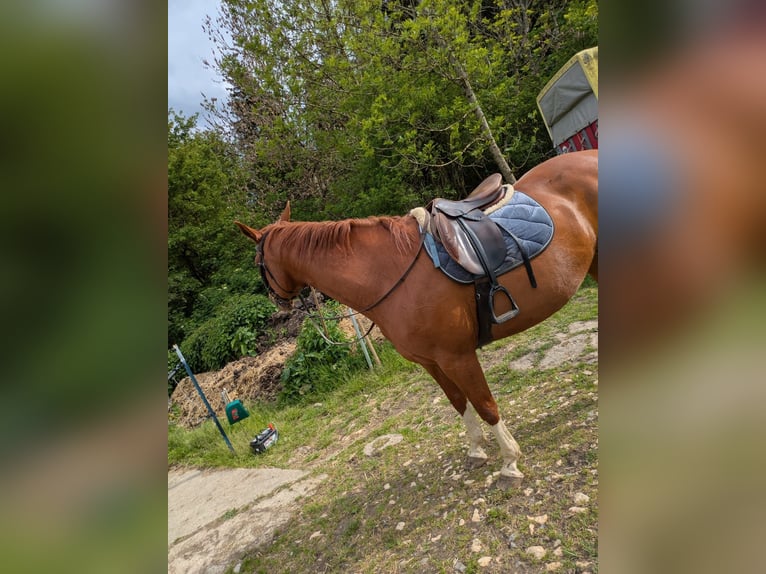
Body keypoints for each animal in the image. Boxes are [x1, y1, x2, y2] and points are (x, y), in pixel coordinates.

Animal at [236, 150, 598, 488]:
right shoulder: (432, 362)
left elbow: (485, 405)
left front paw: (509, 462)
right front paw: (476, 451)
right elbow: (459, 403)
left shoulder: (458, 357)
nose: (278, 304)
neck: (391, 272)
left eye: (257, 262)